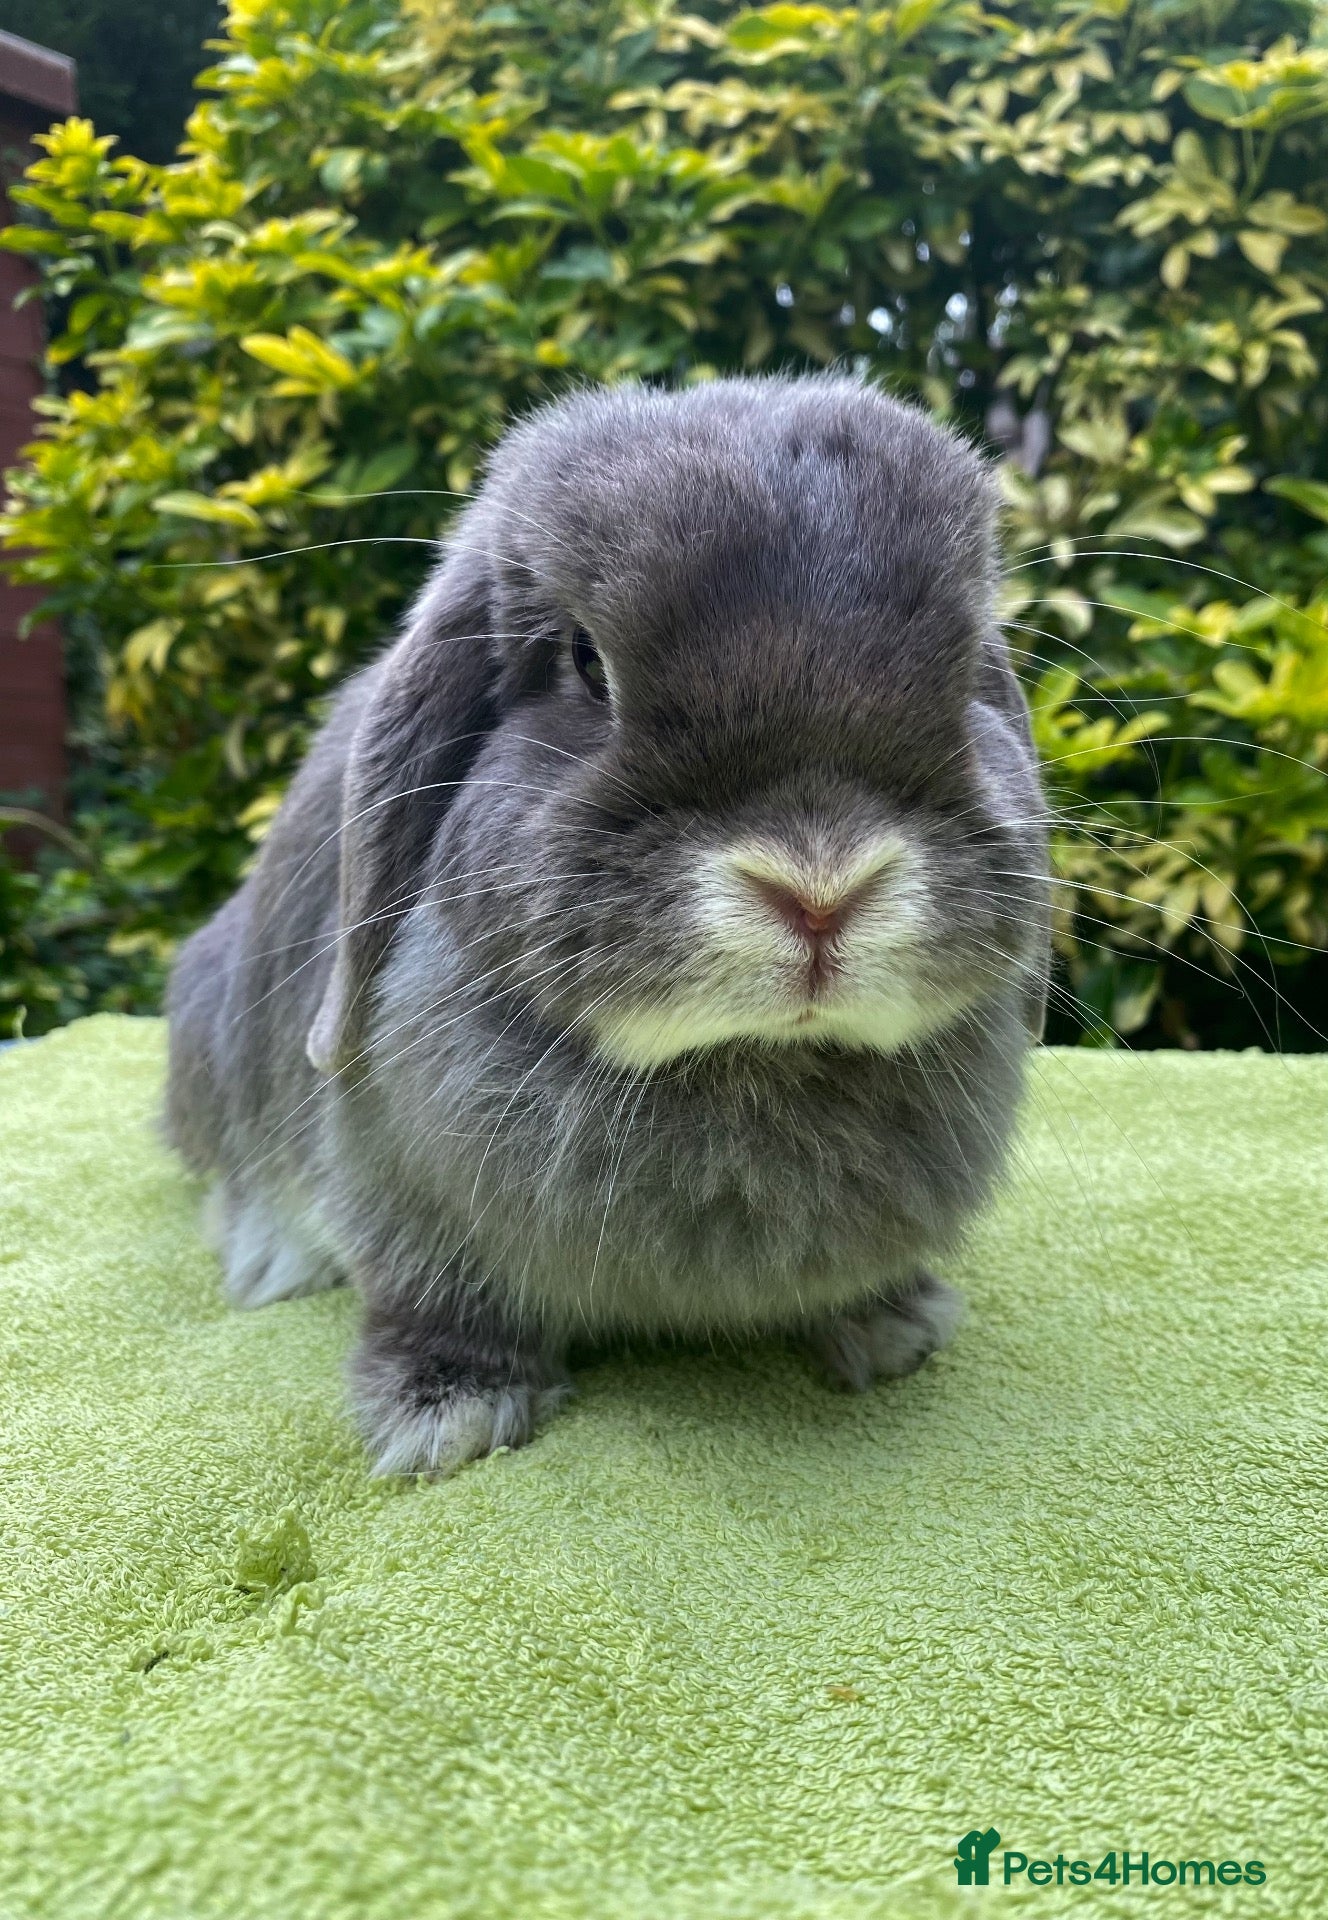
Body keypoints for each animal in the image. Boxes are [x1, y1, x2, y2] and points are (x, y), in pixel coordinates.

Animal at [165, 373, 1051, 1476]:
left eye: (969, 669)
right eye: (586, 666)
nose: (820, 890)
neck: (746, 1067)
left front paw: (894, 1327)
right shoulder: (399, 1188)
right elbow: (431, 1292)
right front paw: (445, 1417)